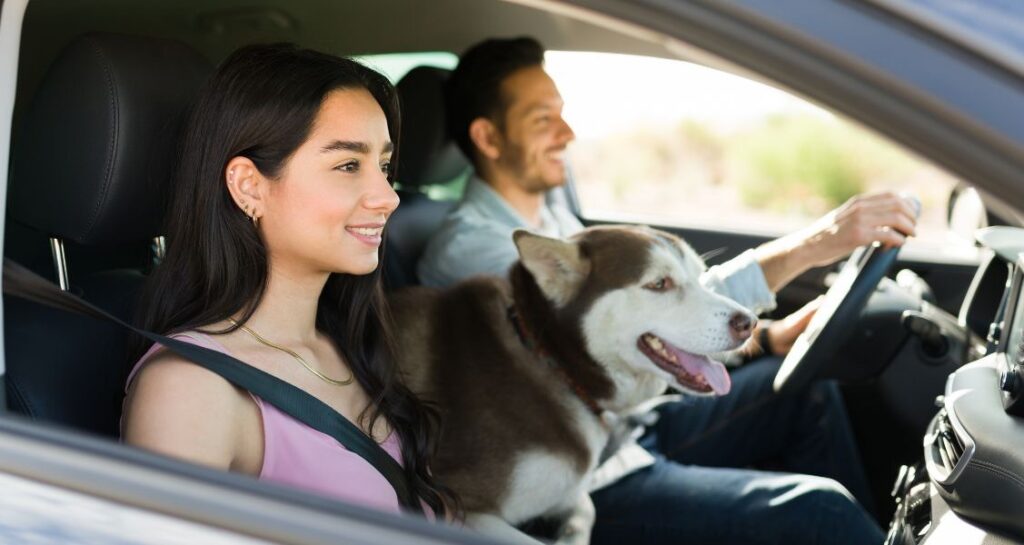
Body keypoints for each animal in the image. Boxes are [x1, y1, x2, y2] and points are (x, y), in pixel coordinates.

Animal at [387, 223, 757, 540]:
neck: (552, 360)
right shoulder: (462, 506)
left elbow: (585, 506)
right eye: (659, 284)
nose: (750, 322)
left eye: (700, 275)